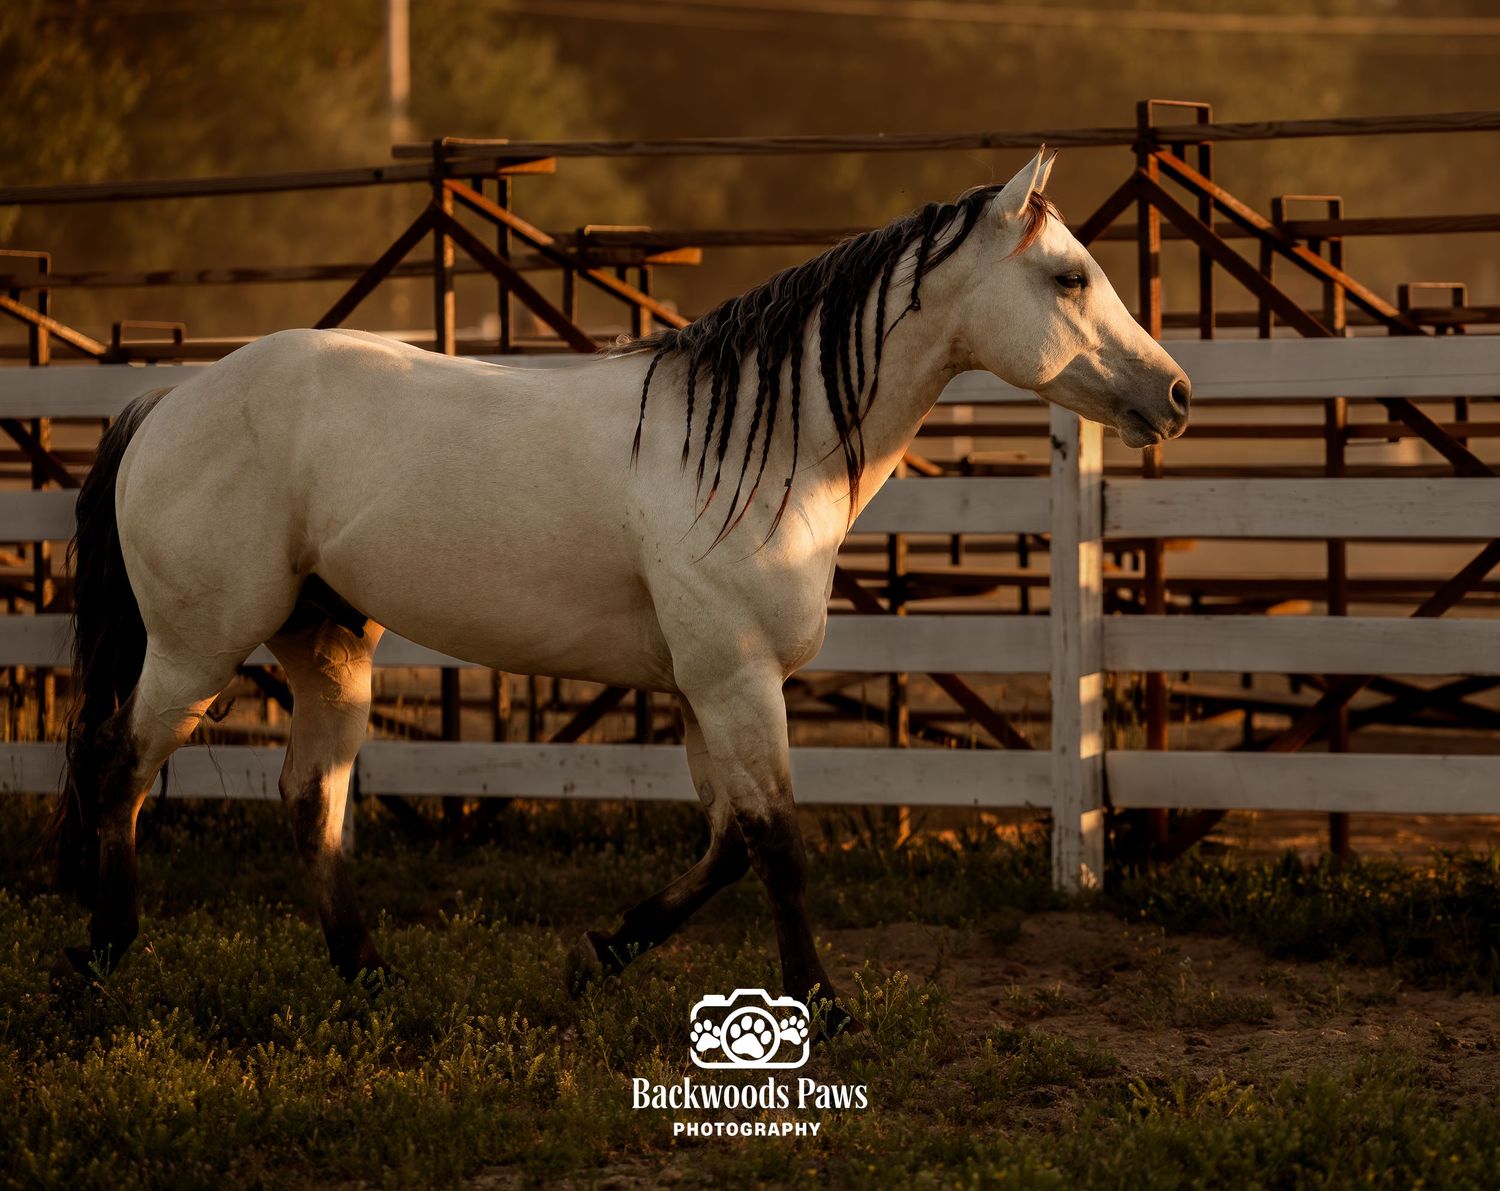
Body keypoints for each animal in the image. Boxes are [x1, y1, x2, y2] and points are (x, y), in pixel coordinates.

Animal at [51, 150, 1189, 1032]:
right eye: (1069, 276)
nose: (1173, 395)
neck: (766, 447)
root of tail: (166, 403)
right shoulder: (737, 682)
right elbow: (780, 842)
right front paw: (823, 1004)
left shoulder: (702, 691)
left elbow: (728, 844)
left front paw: (600, 952)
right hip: (197, 648)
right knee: (120, 768)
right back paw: (97, 965)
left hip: (326, 646)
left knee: (310, 801)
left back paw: (371, 982)